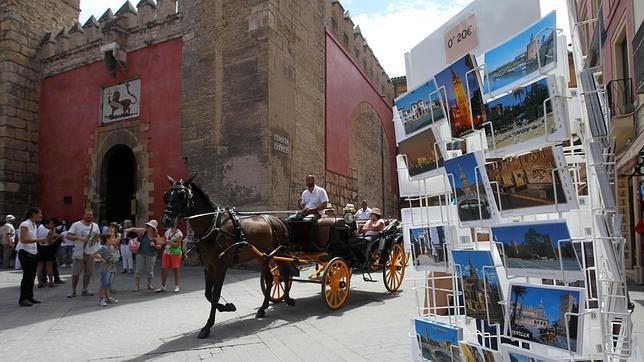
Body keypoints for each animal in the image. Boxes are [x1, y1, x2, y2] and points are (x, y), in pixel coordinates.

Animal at [161, 177, 294, 338]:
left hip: (280, 252)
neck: (213, 227)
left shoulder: (220, 266)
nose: (166, 220)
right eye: (166, 196)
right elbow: (208, 294)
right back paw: (264, 307)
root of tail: (277, 219)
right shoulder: (208, 266)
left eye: (182, 196)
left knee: (285, 275)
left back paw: (287, 299)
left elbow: (215, 294)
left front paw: (208, 326)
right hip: (263, 256)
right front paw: (227, 307)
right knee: (270, 279)